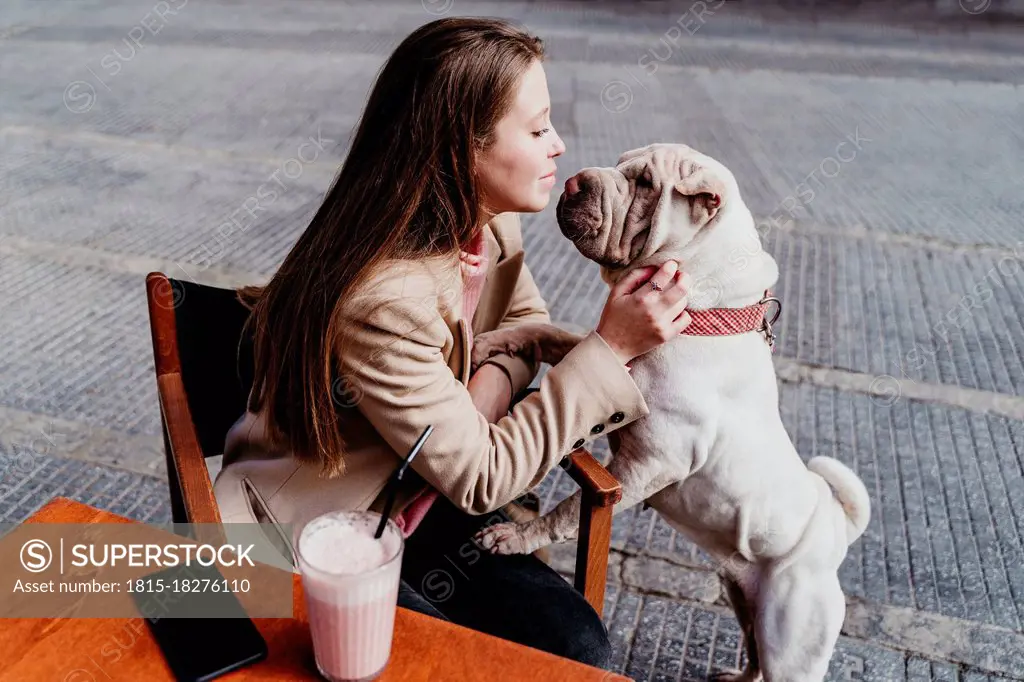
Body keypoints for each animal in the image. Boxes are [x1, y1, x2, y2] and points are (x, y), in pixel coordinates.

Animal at [473, 143, 872, 679]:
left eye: (645, 184)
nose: (574, 180)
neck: (699, 310)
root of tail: (835, 529)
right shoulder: (613, 358)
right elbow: (553, 336)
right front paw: (493, 342)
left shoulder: (652, 463)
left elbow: (569, 509)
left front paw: (514, 538)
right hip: (742, 595)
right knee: (752, 651)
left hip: (792, 642)